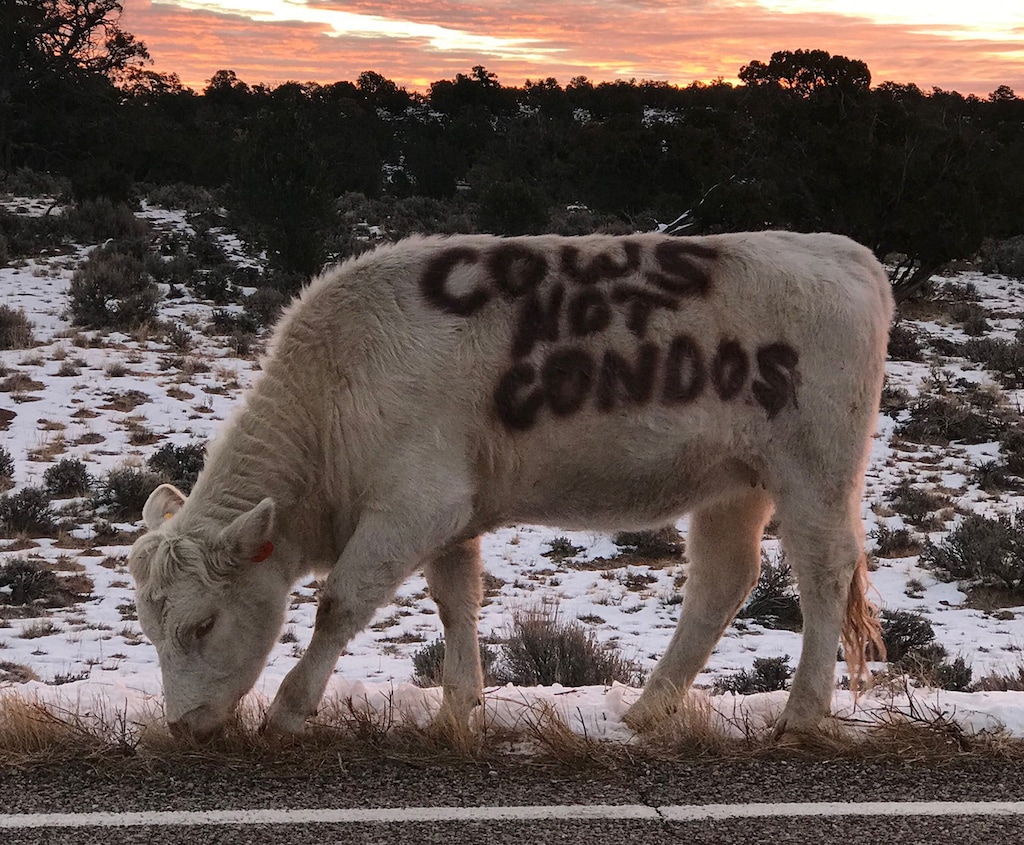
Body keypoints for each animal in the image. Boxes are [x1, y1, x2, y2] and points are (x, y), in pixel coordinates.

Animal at [128, 231, 893, 741]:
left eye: (202, 623)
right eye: (151, 628)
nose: (182, 725)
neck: (333, 392)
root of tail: (843, 252)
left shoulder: (412, 505)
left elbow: (340, 603)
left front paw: (289, 709)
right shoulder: (450, 515)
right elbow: (456, 602)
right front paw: (455, 708)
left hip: (814, 471)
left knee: (824, 571)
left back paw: (800, 713)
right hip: (734, 484)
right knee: (721, 582)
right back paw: (646, 710)